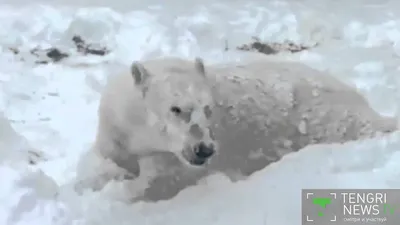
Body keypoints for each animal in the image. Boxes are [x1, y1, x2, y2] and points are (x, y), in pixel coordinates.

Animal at [75, 55, 396, 201]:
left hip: (325, 120)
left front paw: (123, 192)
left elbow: (158, 182)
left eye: (207, 108)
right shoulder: (113, 126)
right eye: (176, 108)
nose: (203, 149)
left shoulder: (176, 160)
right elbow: (102, 159)